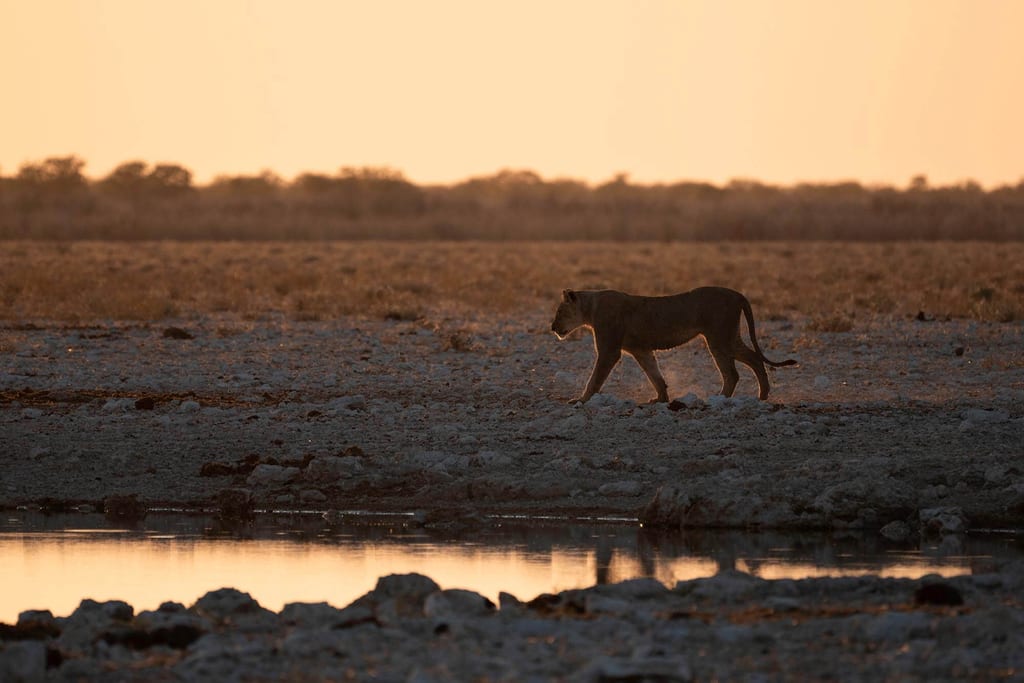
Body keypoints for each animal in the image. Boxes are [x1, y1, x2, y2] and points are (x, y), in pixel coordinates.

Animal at [551, 287, 797, 403]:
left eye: (560, 312)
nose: (552, 327)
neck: (590, 308)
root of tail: (738, 294)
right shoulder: (641, 350)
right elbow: (655, 375)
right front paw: (661, 399)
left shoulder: (609, 350)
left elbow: (595, 379)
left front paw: (581, 400)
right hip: (728, 337)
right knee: (752, 359)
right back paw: (762, 395)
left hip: (719, 339)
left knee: (734, 372)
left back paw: (721, 398)